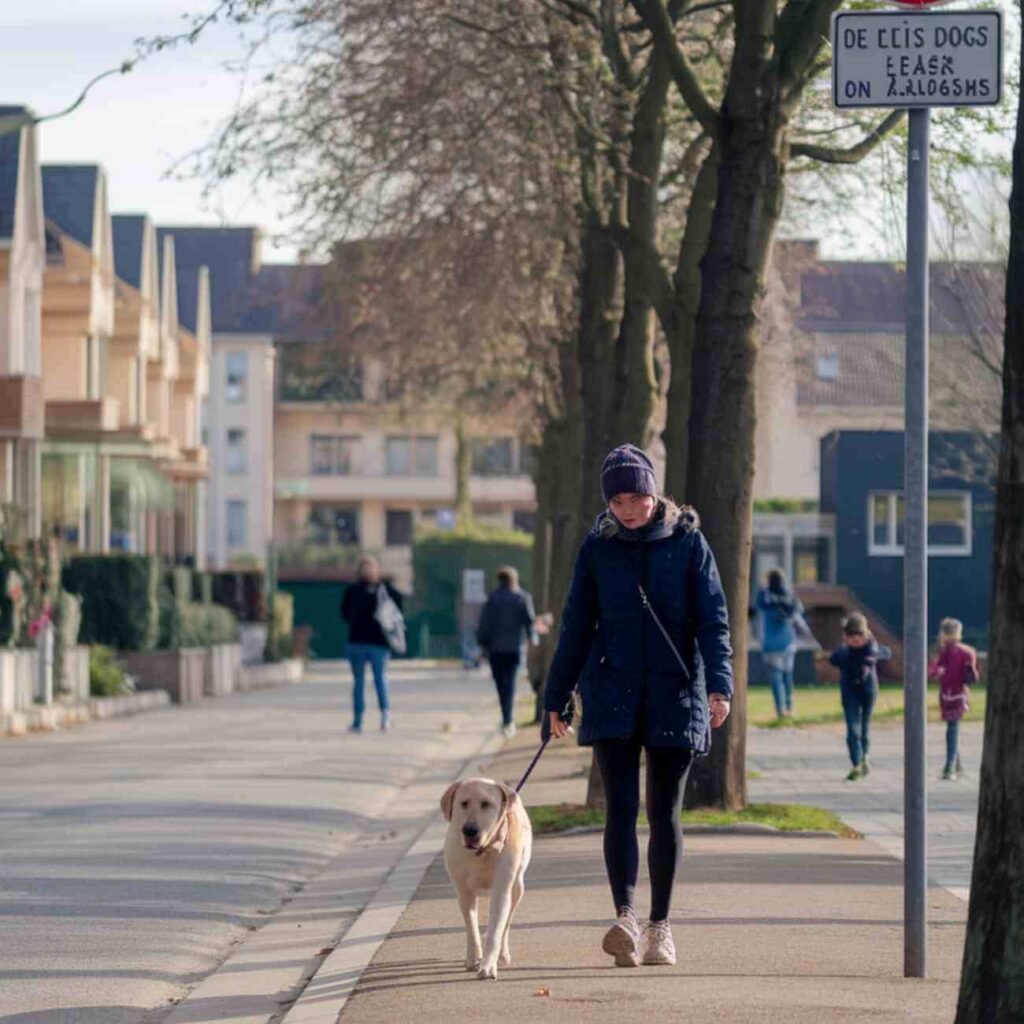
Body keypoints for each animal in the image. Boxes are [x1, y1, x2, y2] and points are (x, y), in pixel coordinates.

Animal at [442, 778, 536, 978]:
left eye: (486, 804)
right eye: (464, 803)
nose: (470, 830)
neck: (483, 851)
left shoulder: (501, 890)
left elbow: (495, 930)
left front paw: (487, 965)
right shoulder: (464, 891)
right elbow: (471, 927)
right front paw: (473, 958)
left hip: (518, 887)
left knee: (506, 923)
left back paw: (502, 954)